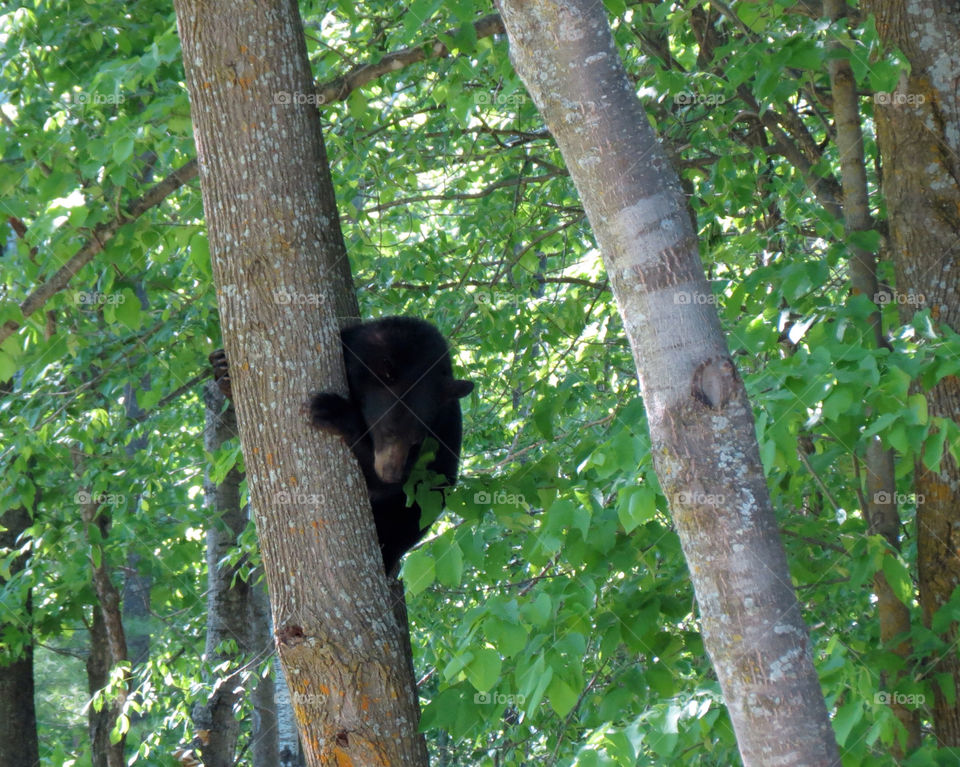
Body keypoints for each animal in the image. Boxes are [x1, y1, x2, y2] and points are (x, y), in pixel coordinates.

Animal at [309, 317, 473, 575]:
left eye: (416, 440)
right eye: (388, 430)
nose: (391, 474)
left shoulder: (439, 431)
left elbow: (382, 481)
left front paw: (332, 411)